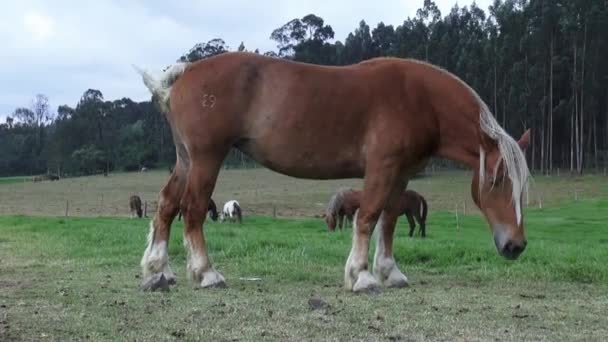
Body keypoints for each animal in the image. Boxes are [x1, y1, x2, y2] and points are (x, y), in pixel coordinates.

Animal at [135, 52, 528, 292]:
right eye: (497, 180)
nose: (516, 246)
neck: (420, 99)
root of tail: (184, 73)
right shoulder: (382, 168)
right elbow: (368, 217)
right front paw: (362, 276)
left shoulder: (400, 175)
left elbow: (389, 222)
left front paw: (390, 272)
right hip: (206, 159)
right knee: (192, 210)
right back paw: (206, 273)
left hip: (186, 160)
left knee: (166, 206)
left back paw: (159, 270)